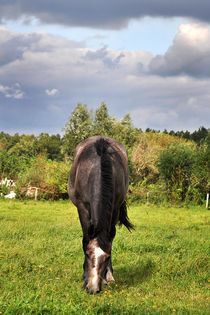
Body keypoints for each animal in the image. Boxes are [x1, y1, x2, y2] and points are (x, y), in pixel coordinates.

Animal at [68, 137, 134, 296]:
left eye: (106, 258)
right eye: (87, 254)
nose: (93, 288)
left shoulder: (115, 207)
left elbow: (111, 239)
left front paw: (108, 277)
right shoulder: (82, 208)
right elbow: (85, 239)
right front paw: (85, 277)